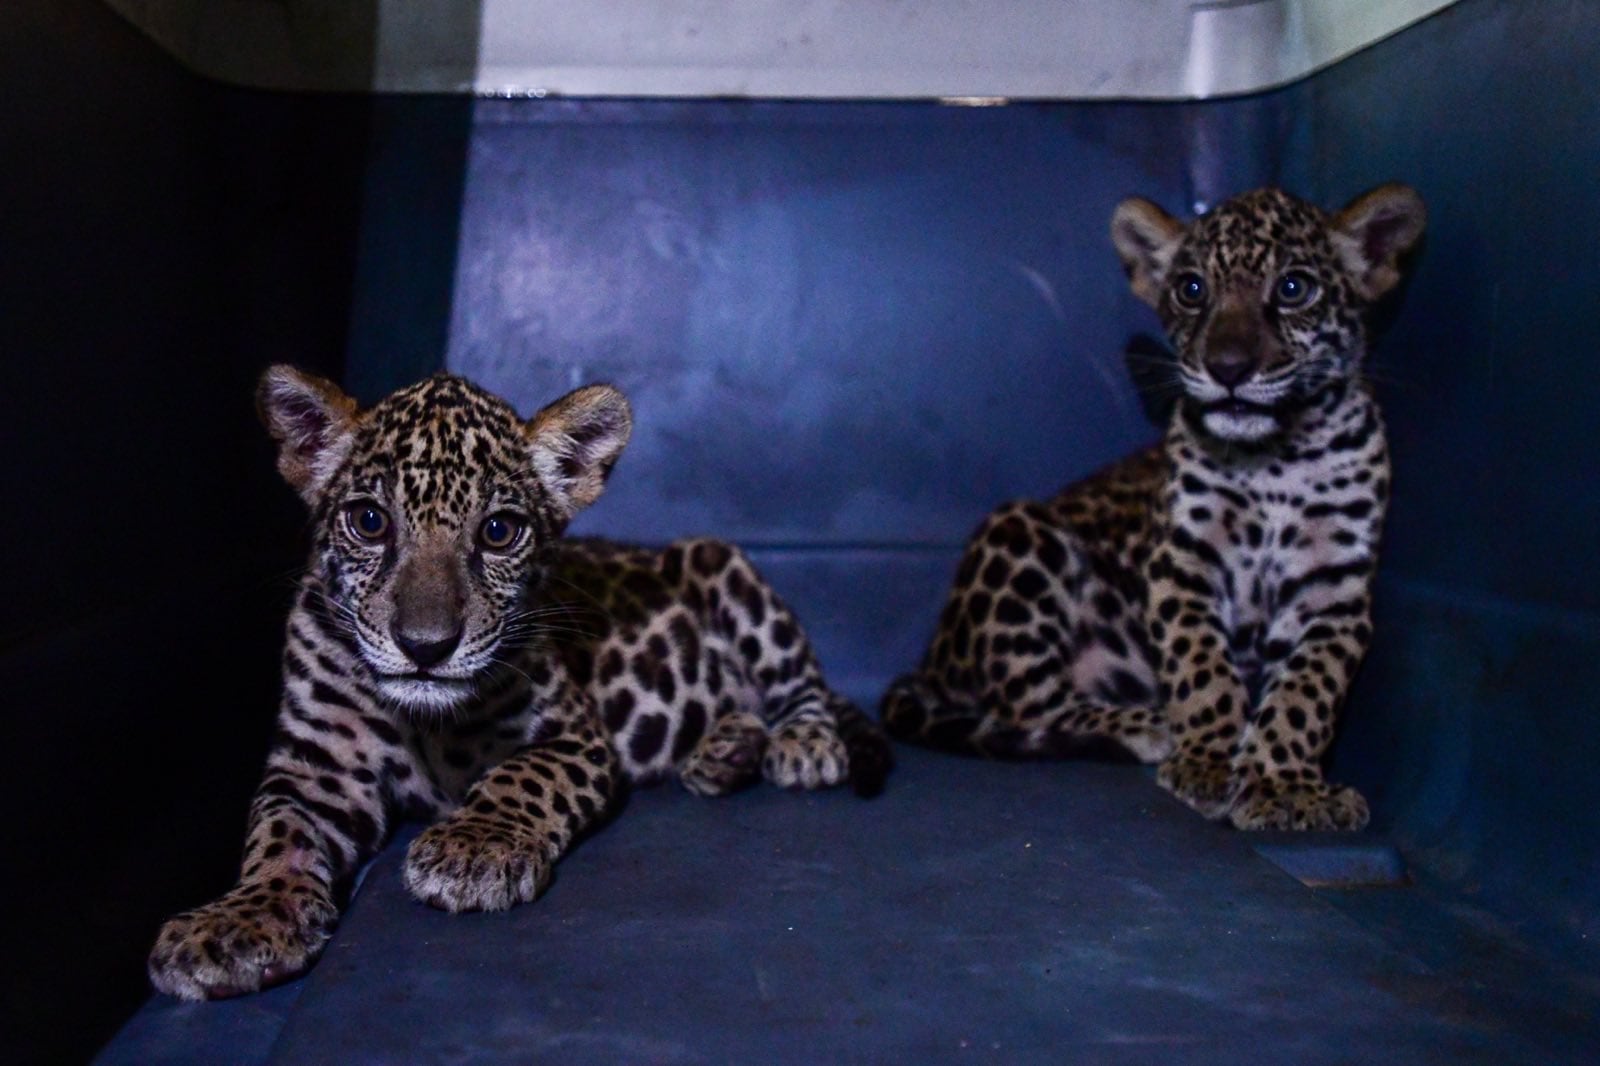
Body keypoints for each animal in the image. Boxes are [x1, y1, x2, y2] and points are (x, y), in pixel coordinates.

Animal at [148, 367, 890, 1001]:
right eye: (370, 521)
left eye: (499, 532)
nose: (425, 647)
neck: (425, 722)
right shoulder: (316, 767)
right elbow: (278, 834)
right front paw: (238, 921)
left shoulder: (573, 735)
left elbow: (519, 776)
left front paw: (473, 847)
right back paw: (724, 749)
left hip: (726, 567)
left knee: (800, 681)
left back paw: (800, 743)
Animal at [883, 184, 1426, 833]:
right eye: (1191, 290)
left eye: (1294, 288)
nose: (1228, 367)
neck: (1275, 458)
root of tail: (933, 658)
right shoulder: (1182, 565)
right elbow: (1203, 669)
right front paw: (1208, 763)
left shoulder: (1334, 591)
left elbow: (1307, 692)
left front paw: (1284, 784)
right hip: (1019, 530)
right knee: (1030, 705)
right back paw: (1148, 726)